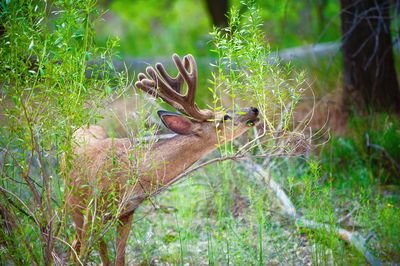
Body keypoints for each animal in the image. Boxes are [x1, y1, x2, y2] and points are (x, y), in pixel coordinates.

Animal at [67, 53, 260, 264]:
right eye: (224, 117)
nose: (254, 109)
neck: (131, 174)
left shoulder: (127, 212)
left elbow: (118, 258)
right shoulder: (93, 210)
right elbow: (91, 255)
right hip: (73, 205)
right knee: (76, 247)